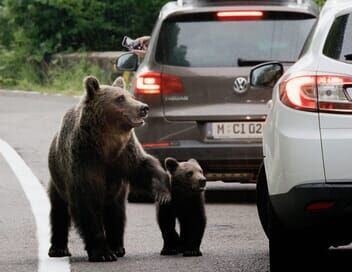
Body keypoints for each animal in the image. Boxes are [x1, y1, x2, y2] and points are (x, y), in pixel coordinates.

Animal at [47, 75, 171, 262]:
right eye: (120, 98)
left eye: (130, 95)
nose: (143, 108)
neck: (106, 143)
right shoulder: (85, 160)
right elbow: (87, 205)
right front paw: (102, 252)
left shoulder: (124, 155)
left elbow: (144, 166)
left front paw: (162, 193)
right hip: (58, 180)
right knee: (58, 211)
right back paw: (58, 248)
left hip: (117, 192)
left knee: (116, 213)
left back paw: (117, 246)